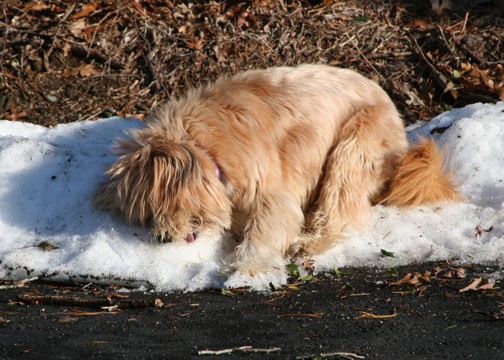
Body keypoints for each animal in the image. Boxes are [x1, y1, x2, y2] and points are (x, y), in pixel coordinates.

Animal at [92, 64, 458, 272]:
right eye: (146, 215)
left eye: (165, 206)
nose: (163, 238)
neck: (208, 147)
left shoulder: (272, 192)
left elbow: (266, 227)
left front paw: (246, 269)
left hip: (355, 143)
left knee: (338, 207)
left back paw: (309, 241)